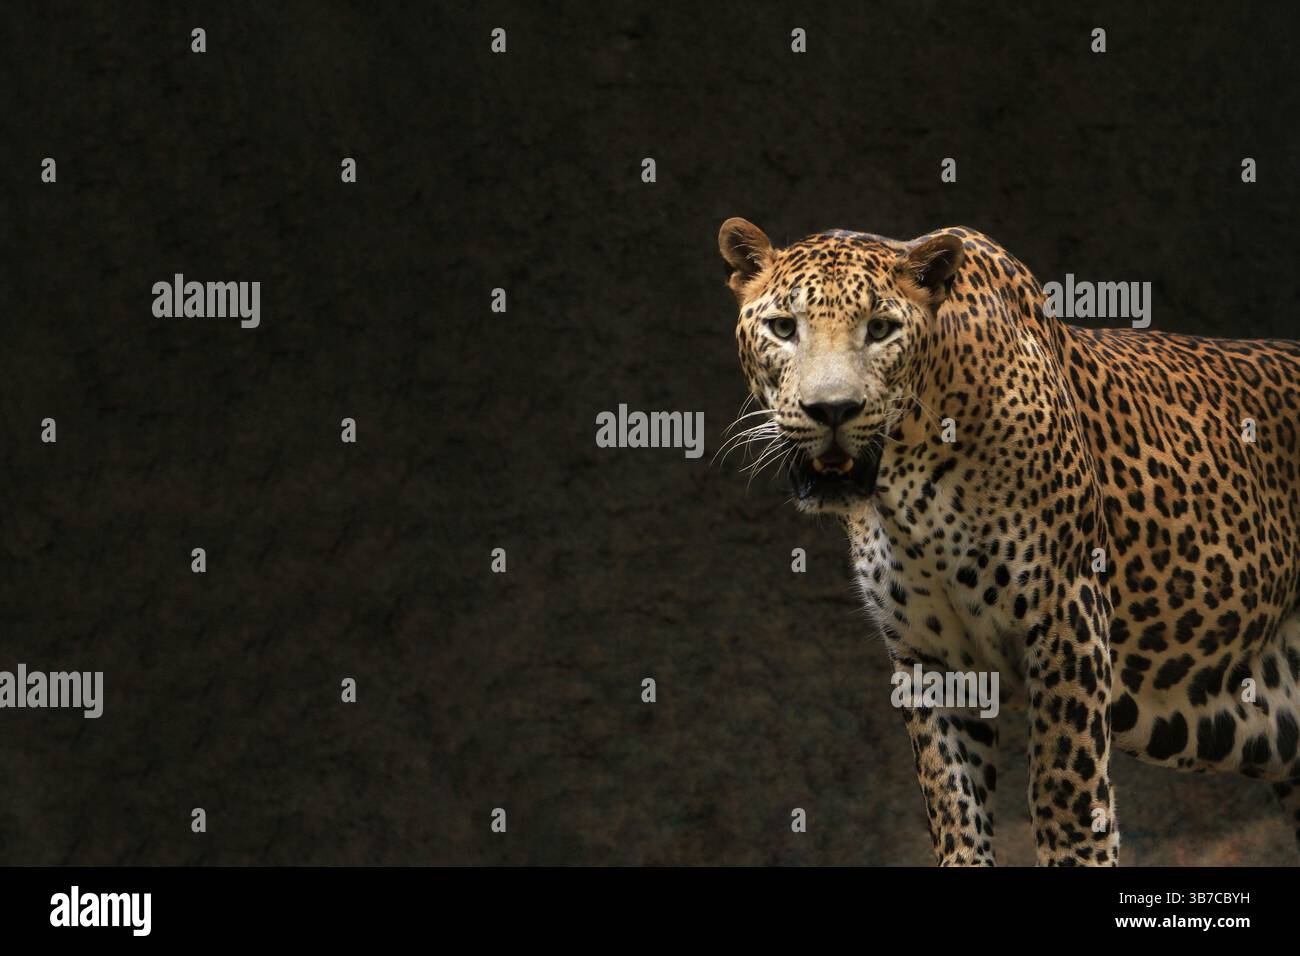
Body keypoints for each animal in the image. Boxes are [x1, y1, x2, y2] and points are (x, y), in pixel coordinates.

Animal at [717, 217, 1300, 866]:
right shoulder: (931, 658)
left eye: (881, 329)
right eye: (784, 328)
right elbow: (953, 807)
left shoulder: (1068, 619)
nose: (832, 410)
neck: (908, 481)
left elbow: (1065, 795)